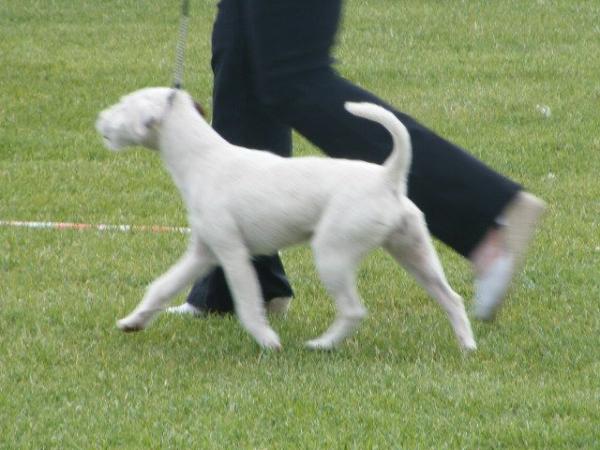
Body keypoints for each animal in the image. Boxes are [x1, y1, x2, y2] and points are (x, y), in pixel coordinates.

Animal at [96, 88, 476, 352]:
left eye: (124, 105)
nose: (99, 118)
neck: (202, 158)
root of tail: (389, 177)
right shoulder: (203, 252)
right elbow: (162, 287)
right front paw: (133, 321)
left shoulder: (233, 255)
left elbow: (248, 305)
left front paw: (267, 340)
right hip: (414, 252)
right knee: (451, 298)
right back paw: (467, 346)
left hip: (333, 254)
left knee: (353, 310)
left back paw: (322, 345)